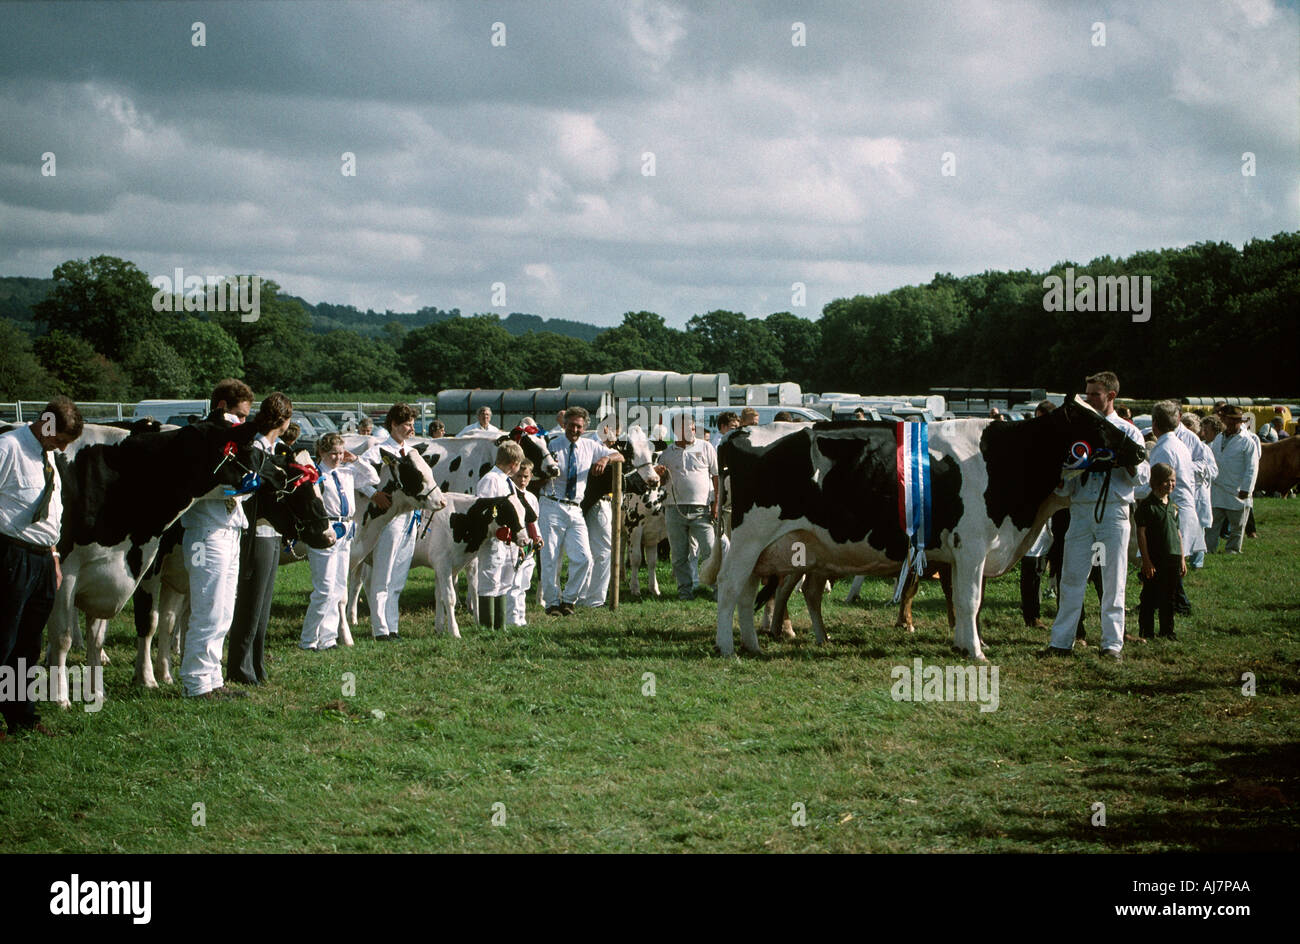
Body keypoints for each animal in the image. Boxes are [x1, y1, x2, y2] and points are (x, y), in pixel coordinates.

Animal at [42, 421, 266, 707]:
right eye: (247, 444)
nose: (269, 476)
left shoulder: (113, 573)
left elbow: (103, 634)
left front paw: (98, 691)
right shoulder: (68, 572)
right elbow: (64, 636)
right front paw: (60, 698)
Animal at [130, 447, 335, 691]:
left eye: (320, 489)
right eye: (299, 492)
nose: (330, 536)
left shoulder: (178, 576)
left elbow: (169, 623)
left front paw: (165, 673)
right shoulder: (148, 571)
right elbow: (149, 622)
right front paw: (146, 677)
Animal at [707, 403, 1144, 663]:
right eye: (1096, 423)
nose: (1139, 451)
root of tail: (740, 434)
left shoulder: (961, 552)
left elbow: (966, 603)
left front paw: (964, 643)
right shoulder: (973, 545)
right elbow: (970, 599)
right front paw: (977, 653)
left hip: (767, 548)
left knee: (747, 591)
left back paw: (753, 644)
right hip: (750, 538)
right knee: (729, 587)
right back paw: (728, 647)